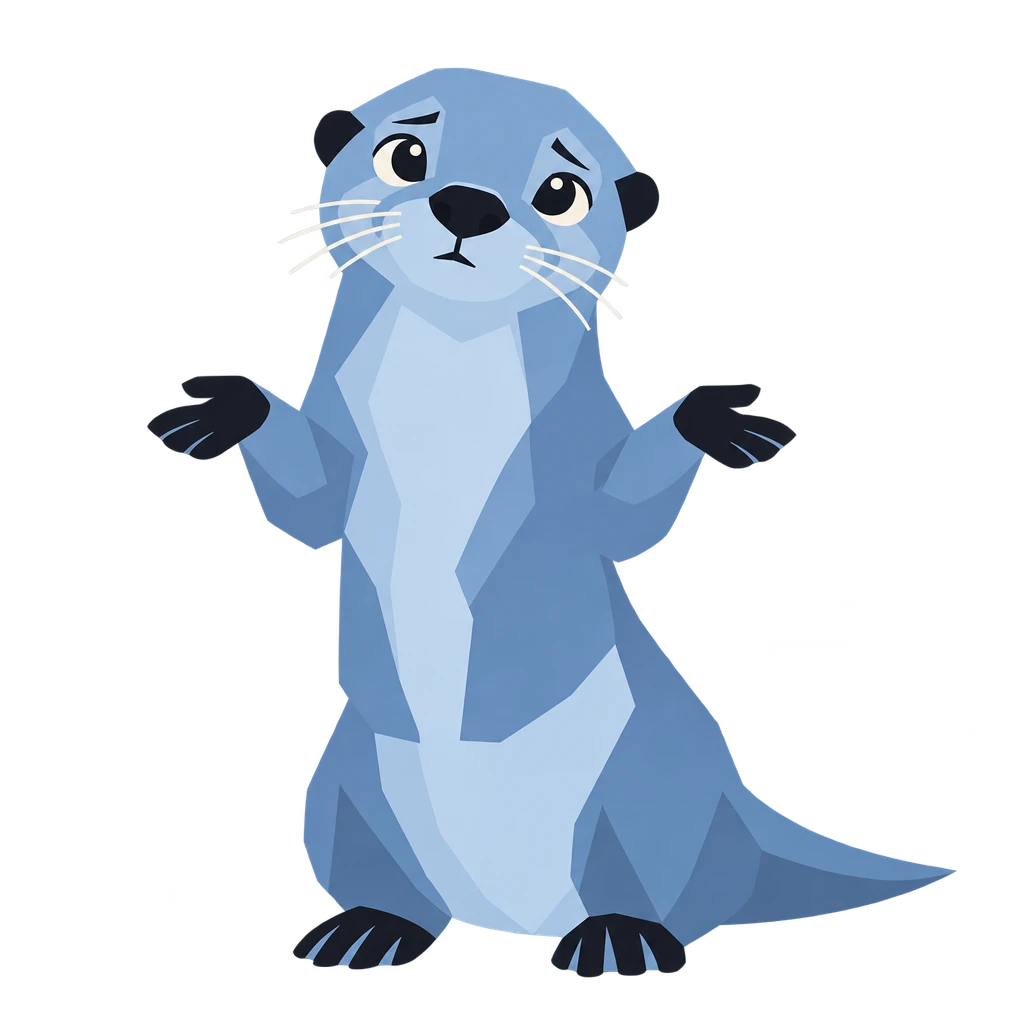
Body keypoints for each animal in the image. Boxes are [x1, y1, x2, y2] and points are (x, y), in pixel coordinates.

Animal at [146, 65, 955, 977]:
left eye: (561, 192)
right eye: (406, 154)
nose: (468, 204)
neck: (449, 394)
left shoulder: (578, 450)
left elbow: (624, 508)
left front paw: (710, 421)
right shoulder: (339, 436)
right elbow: (307, 500)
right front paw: (227, 407)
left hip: (637, 783)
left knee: (669, 886)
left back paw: (620, 938)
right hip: (343, 782)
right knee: (380, 870)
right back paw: (374, 927)